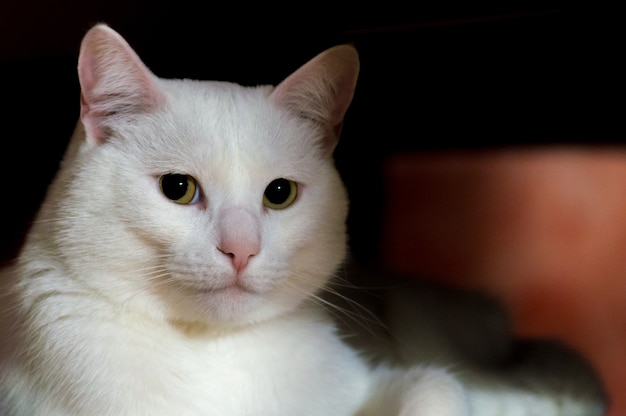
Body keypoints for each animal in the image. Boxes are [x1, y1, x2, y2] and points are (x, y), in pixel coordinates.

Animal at [0, 24, 604, 414]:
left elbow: (434, 392)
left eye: (280, 194)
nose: (241, 250)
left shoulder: (393, 386)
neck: (215, 351)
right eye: (177, 188)